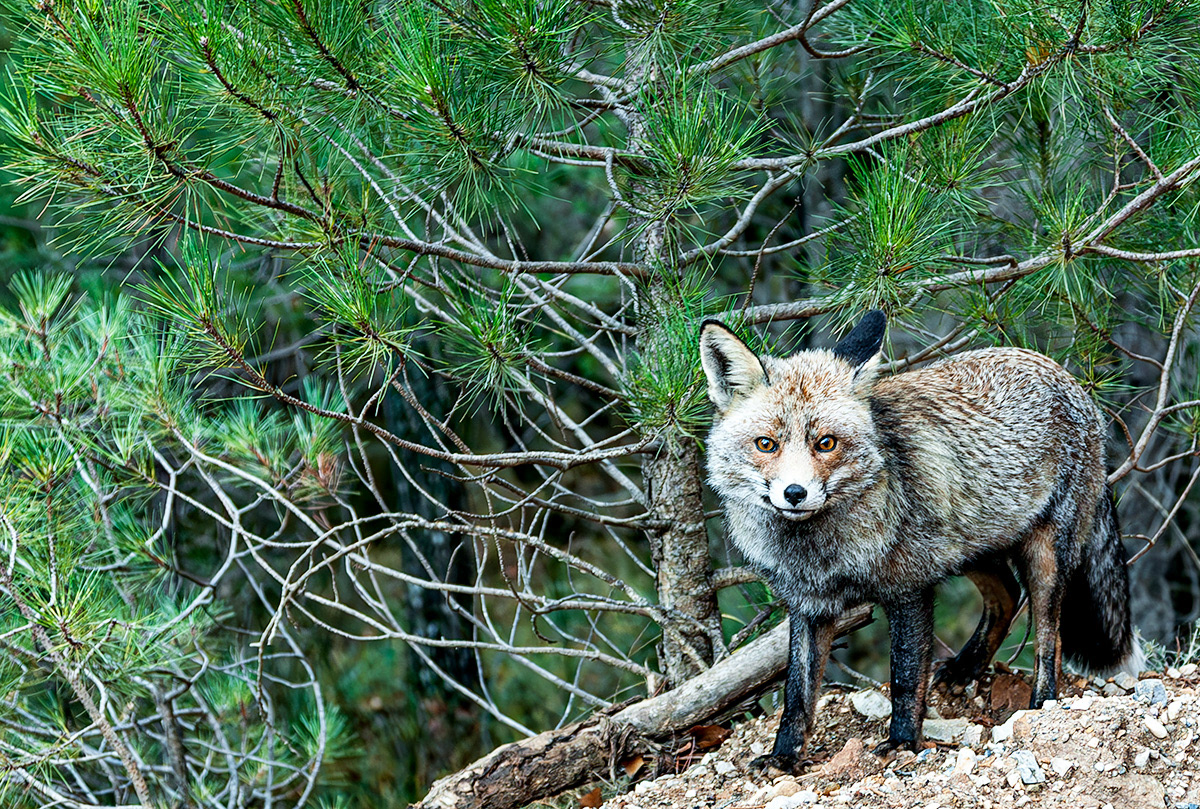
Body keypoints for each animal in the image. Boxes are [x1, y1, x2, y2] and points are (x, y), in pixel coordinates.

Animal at [699, 310, 1141, 774]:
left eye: (826, 443)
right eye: (766, 444)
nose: (795, 493)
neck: (822, 552)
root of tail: (1067, 377)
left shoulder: (909, 589)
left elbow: (906, 678)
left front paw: (902, 742)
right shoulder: (809, 605)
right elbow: (797, 694)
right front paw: (784, 755)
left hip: (1045, 558)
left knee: (1047, 638)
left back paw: (1041, 703)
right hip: (966, 547)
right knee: (1006, 593)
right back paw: (967, 668)